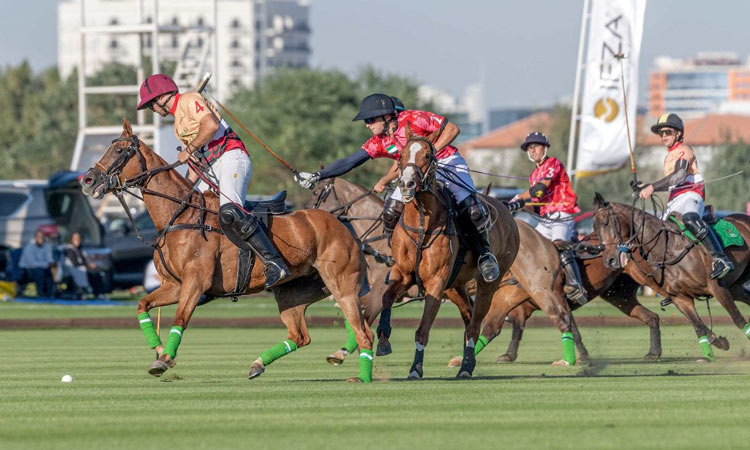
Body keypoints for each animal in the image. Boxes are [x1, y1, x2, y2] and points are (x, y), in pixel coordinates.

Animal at [80, 119, 378, 384]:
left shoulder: (195, 282)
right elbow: (142, 305)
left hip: (342, 285)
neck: (179, 216)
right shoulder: (174, 285)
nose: (88, 180)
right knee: (301, 335)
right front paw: (160, 352)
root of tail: (344, 226)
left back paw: (362, 378)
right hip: (292, 293)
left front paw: (163, 360)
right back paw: (257, 364)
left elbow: (180, 318)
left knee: (364, 332)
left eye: (120, 150)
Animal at [378, 125, 520, 378]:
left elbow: (423, 330)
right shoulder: (403, 273)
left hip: (489, 281)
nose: (406, 184)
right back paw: (468, 362)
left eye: (427, 155)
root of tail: (506, 210)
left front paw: (416, 368)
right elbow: (386, 297)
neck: (422, 222)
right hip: (455, 285)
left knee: (475, 324)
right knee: (469, 316)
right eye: (401, 155)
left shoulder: (436, 280)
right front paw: (383, 340)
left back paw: (465, 367)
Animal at [592, 192, 750, 360]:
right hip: (735, 286)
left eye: (607, 223)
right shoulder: (680, 298)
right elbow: (698, 326)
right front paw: (716, 345)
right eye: (594, 228)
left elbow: (737, 319)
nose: (609, 260)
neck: (668, 249)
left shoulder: (716, 287)